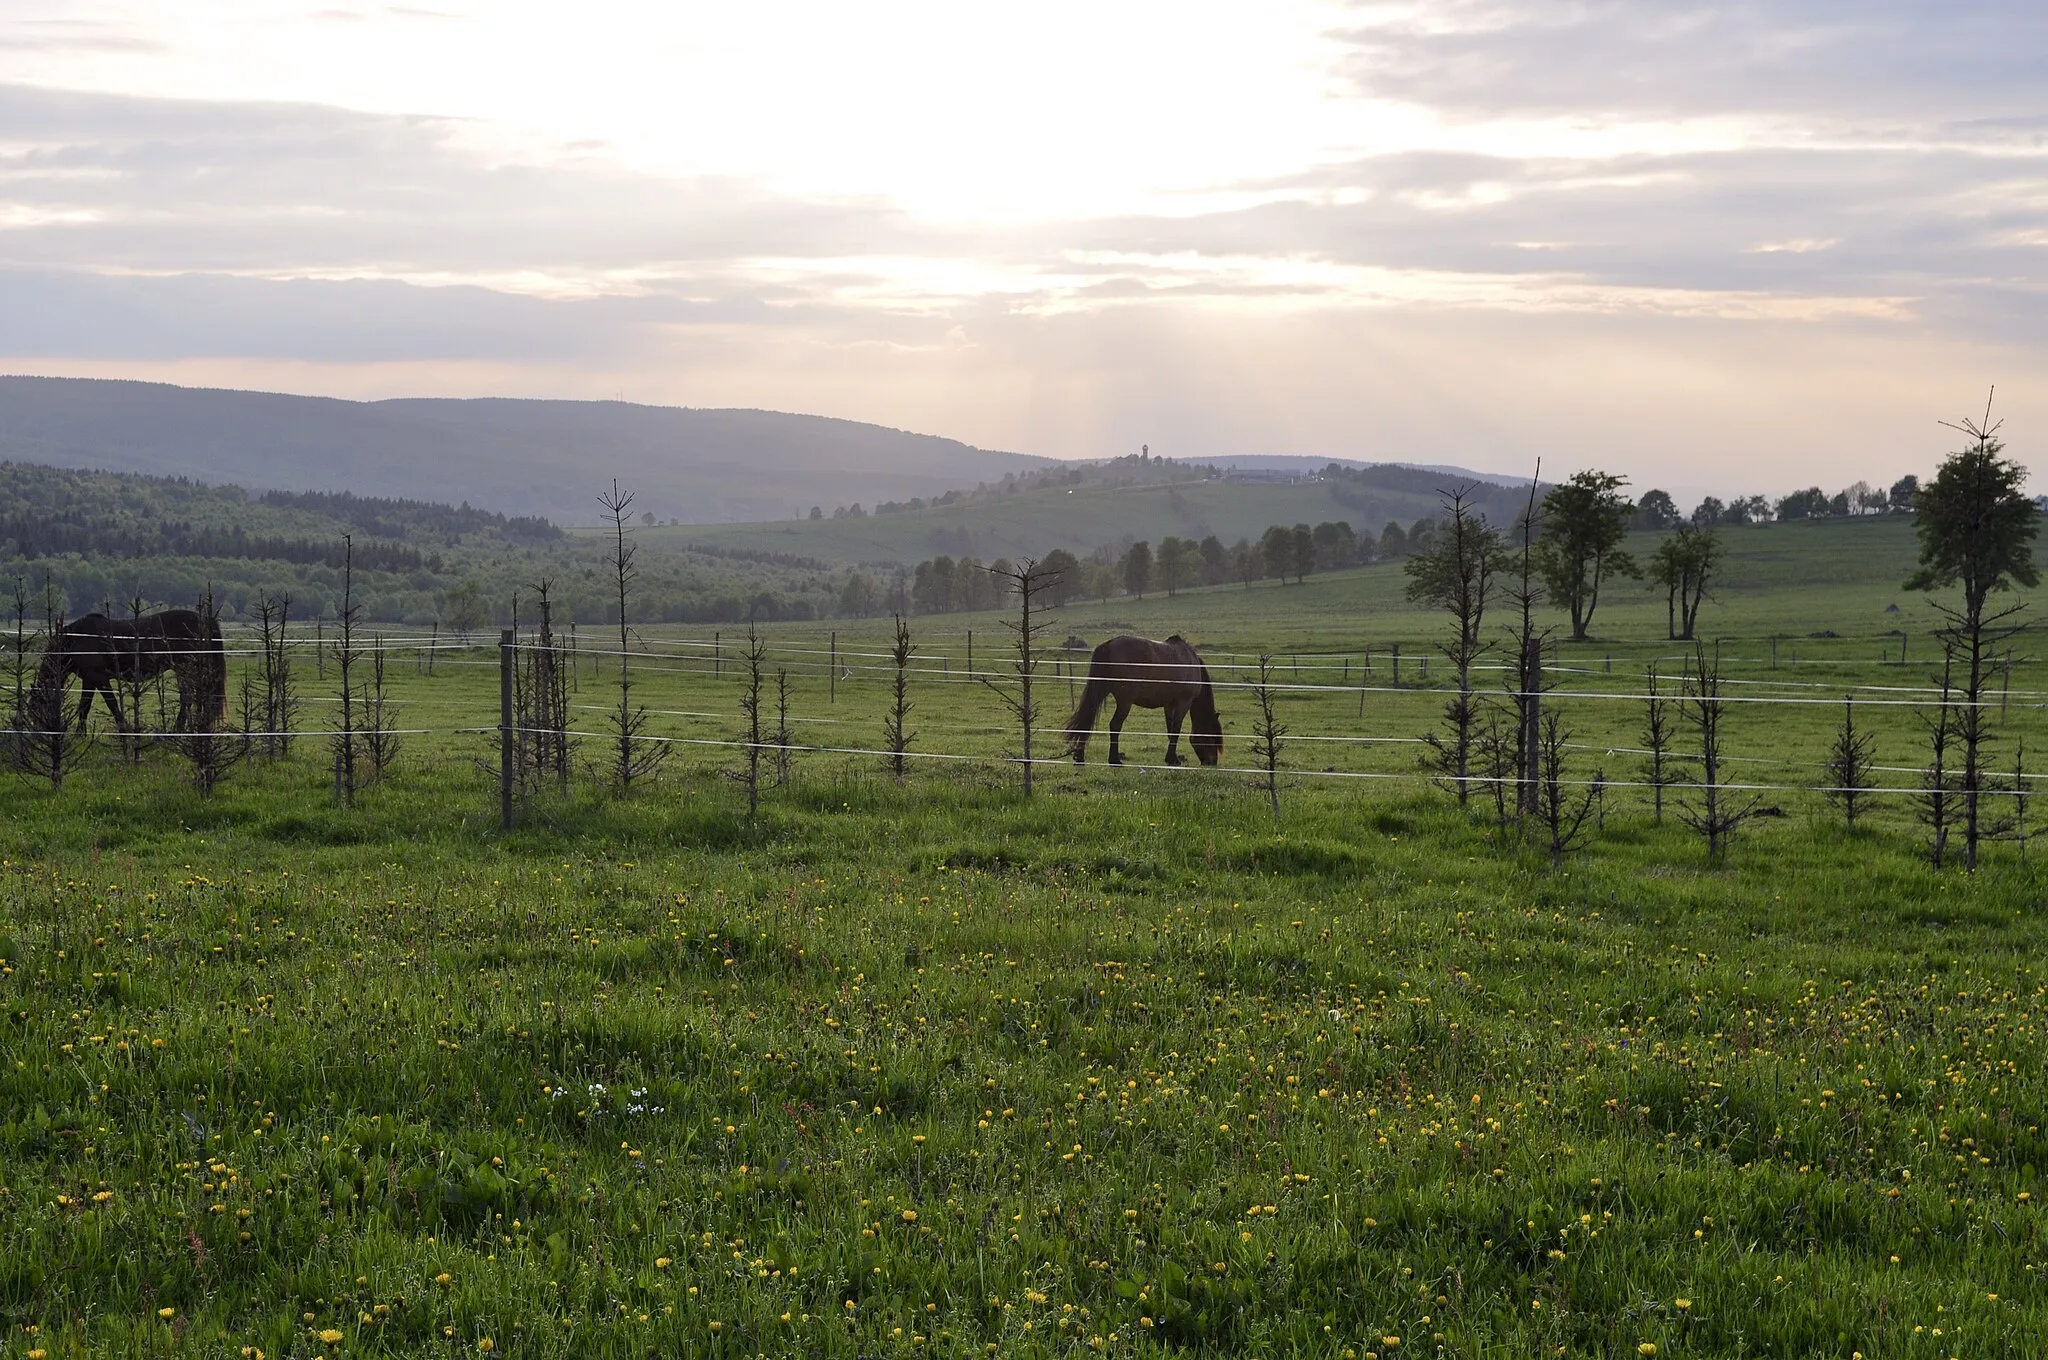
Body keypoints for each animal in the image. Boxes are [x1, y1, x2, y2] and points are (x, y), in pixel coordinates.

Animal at [33, 606, 226, 733]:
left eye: (40, 704)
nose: (40, 731)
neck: (76, 638)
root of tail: (205, 620)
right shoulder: (89, 679)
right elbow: (84, 706)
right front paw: (81, 735)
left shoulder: (99, 678)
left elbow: (111, 703)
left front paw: (124, 730)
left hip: (184, 667)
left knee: (187, 699)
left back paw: (176, 731)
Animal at [1073, 634, 1212, 766]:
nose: (1211, 762)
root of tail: (1109, 644)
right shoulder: (1184, 702)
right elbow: (1176, 730)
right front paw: (1173, 759)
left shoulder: (1169, 704)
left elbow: (1170, 730)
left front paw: (1172, 758)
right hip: (1125, 702)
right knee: (1115, 725)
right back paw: (1114, 759)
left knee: (1087, 718)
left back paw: (1079, 757)